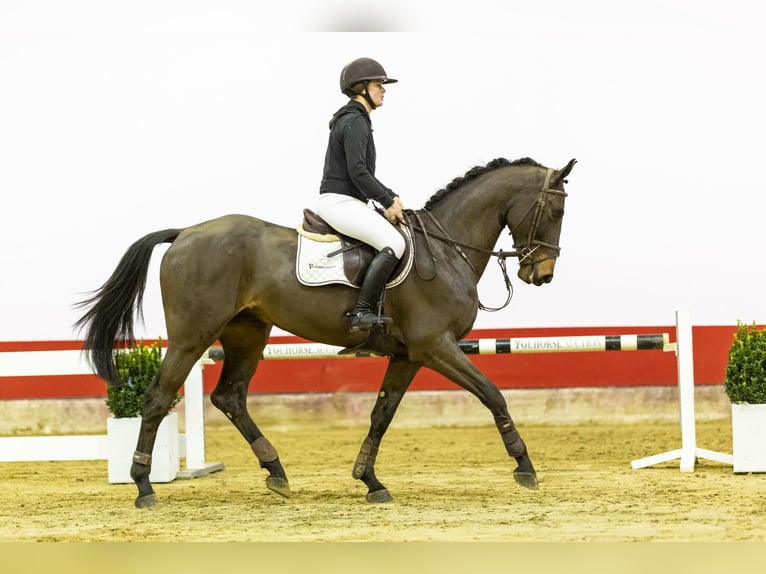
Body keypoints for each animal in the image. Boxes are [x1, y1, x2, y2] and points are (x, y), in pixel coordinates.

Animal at [75, 156, 576, 508]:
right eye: (555, 209)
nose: (542, 273)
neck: (445, 249)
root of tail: (183, 233)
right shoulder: (436, 346)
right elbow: (493, 393)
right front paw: (525, 465)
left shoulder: (408, 355)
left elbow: (381, 414)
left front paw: (370, 481)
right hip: (191, 337)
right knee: (159, 397)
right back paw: (144, 486)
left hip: (247, 334)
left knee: (230, 396)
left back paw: (276, 472)